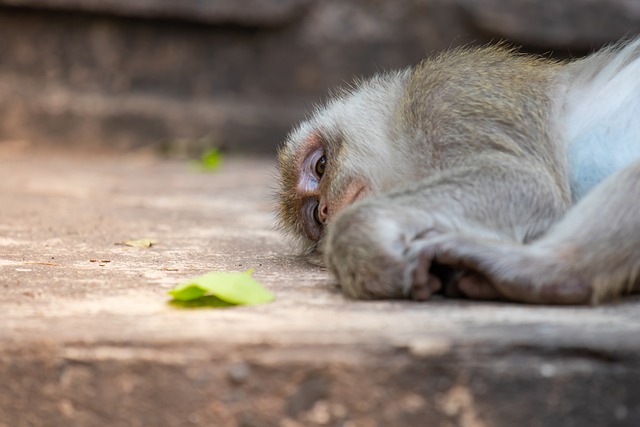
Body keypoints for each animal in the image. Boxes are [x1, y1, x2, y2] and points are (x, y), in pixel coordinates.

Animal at [276, 36, 640, 304]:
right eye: (316, 217)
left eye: (321, 165)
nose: (326, 209)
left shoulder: (448, 92)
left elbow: (527, 182)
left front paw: (361, 240)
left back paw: (551, 271)